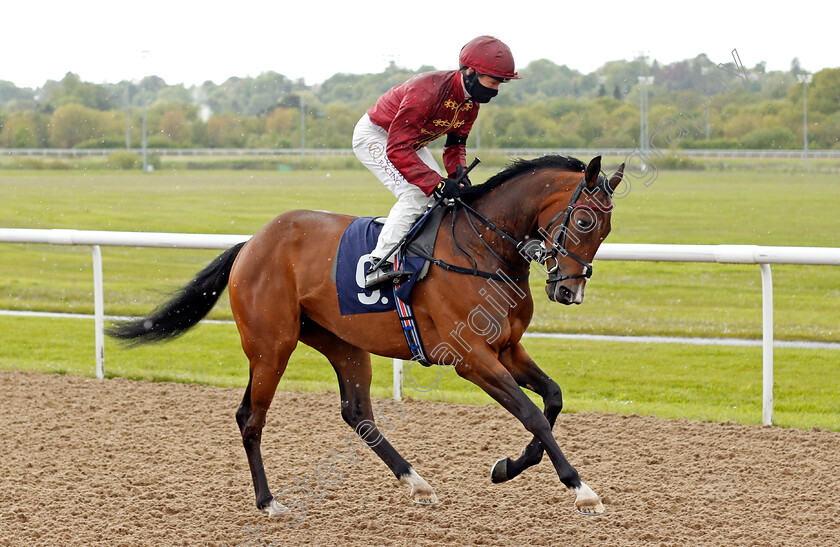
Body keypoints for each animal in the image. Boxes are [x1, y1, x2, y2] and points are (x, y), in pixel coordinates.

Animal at [108, 155, 624, 520]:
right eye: (583, 221)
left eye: (607, 229)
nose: (569, 290)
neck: (481, 250)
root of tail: (252, 243)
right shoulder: (470, 357)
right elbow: (532, 414)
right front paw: (582, 489)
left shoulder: (507, 348)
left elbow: (552, 399)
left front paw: (508, 467)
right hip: (272, 345)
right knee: (251, 417)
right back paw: (269, 502)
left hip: (342, 343)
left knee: (357, 413)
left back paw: (416, 482)